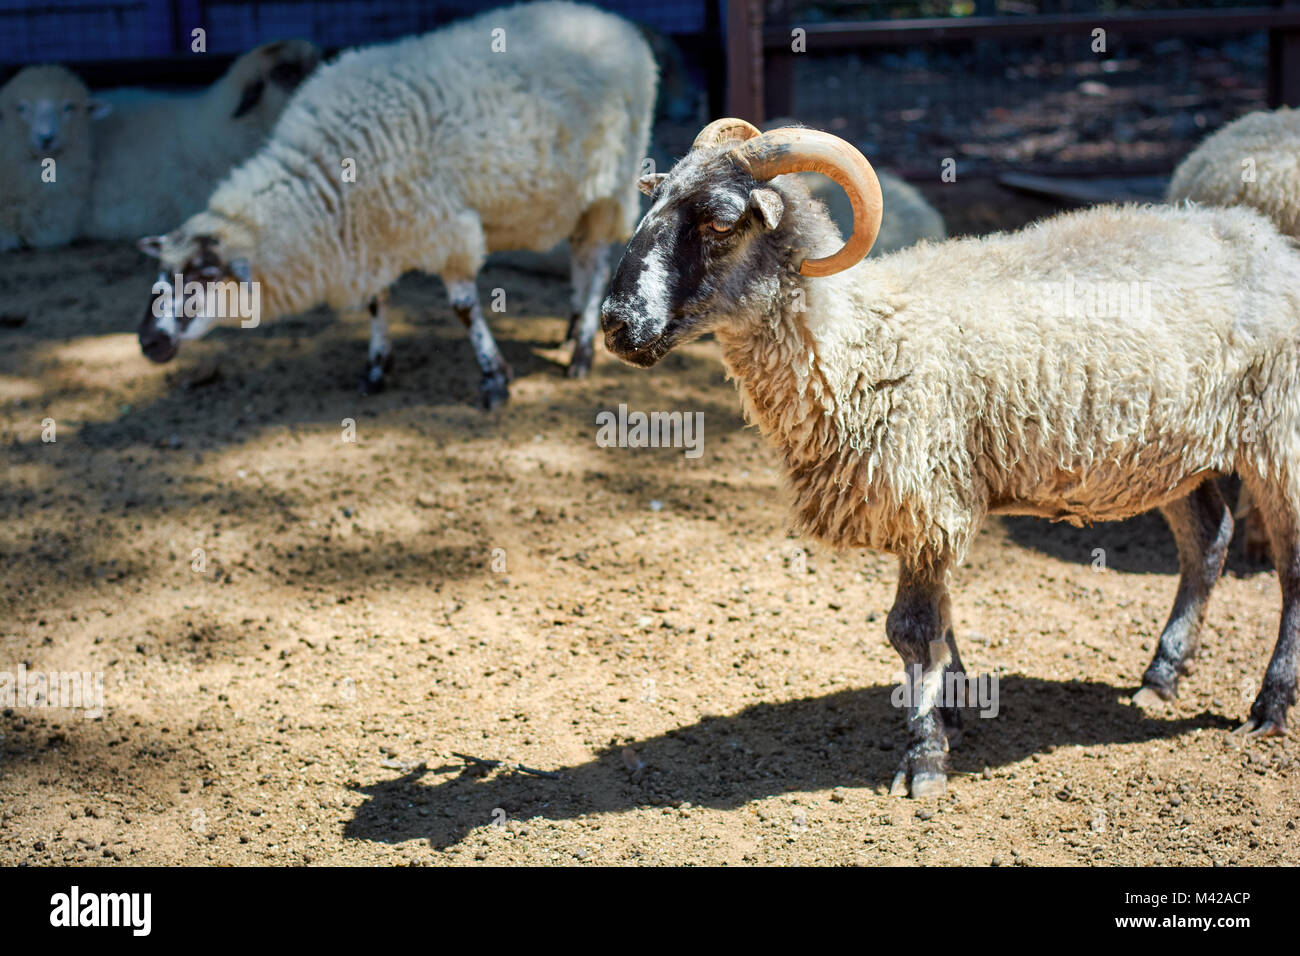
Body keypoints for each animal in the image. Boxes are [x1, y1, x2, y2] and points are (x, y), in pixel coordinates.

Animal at [136, 1, 657, 407]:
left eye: (204, 275)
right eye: (161, 273)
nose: (147, 341)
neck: (326, 189)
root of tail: (615, 24)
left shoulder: (445, 228)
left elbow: (464, 309)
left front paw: (494, 380)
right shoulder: (372, 234)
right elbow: (375, 303)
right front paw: (375, 370)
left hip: (610, 185)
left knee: (594, 262)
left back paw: (582, 352)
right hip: (576, 195)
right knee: (579, 258)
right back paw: (570, 328)